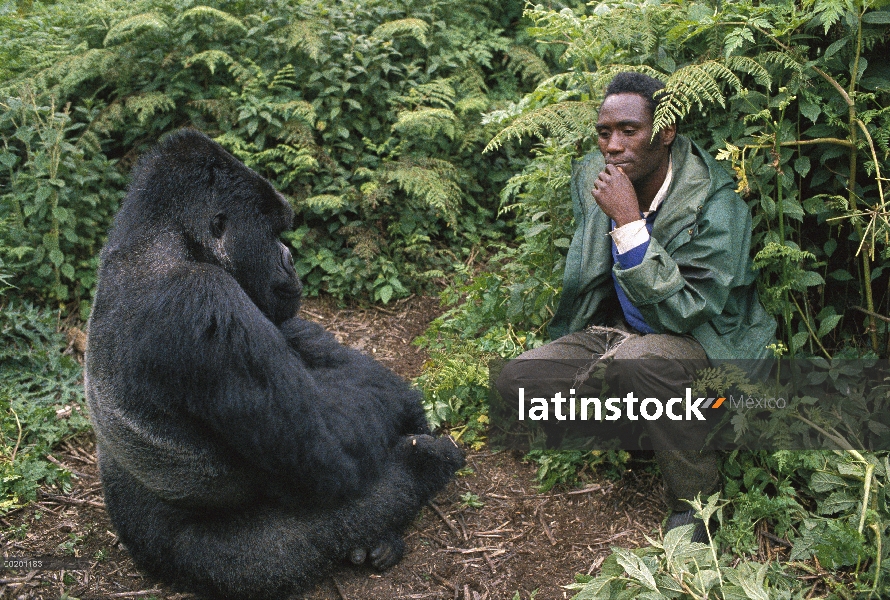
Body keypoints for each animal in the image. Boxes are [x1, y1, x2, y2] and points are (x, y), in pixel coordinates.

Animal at [85, 130, 464, 600]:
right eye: (273, 233)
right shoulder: (204, 299)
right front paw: (407, 418)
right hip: (197, 558)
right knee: (299, 536)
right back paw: (425, 466)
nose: (289, 258)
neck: (162, 241)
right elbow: (327, 449)